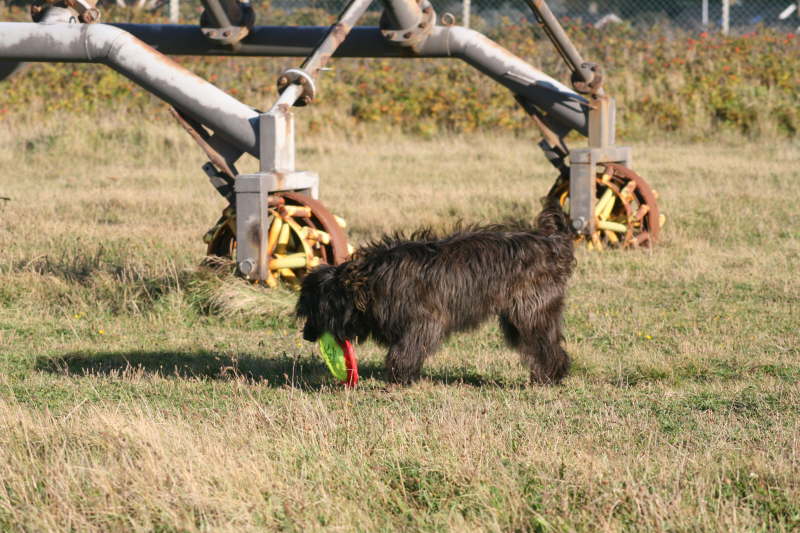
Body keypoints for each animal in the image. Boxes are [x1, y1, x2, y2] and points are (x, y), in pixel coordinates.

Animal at [294, 195, 576, 382]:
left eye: (316, 310)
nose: (307, 335)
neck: (369, 282)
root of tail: (549, 241)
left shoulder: (423, 321)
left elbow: (408, 348)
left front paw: (399, 374)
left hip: (531, 312)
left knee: (544, 342)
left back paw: (551, 375)